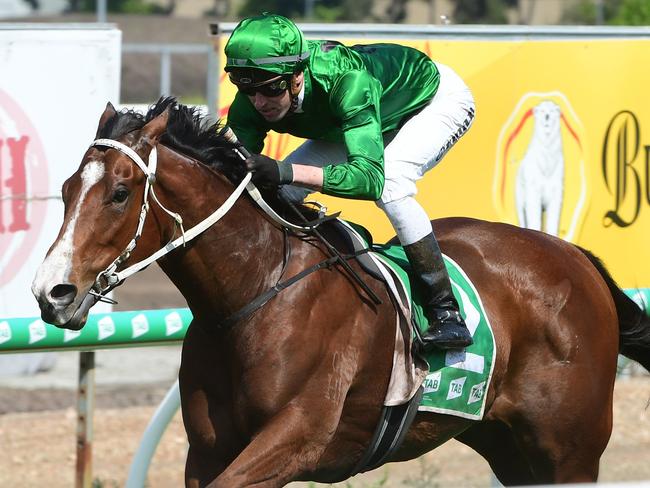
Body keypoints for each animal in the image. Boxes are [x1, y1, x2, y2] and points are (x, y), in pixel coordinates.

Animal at [31, 97, 648, 486]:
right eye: (65, 189)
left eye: (119, 192)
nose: (51, 293)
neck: (255, 291)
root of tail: (576, 258)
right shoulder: (207, 450)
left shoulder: (297, 437)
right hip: (509, 447)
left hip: (569, 452)